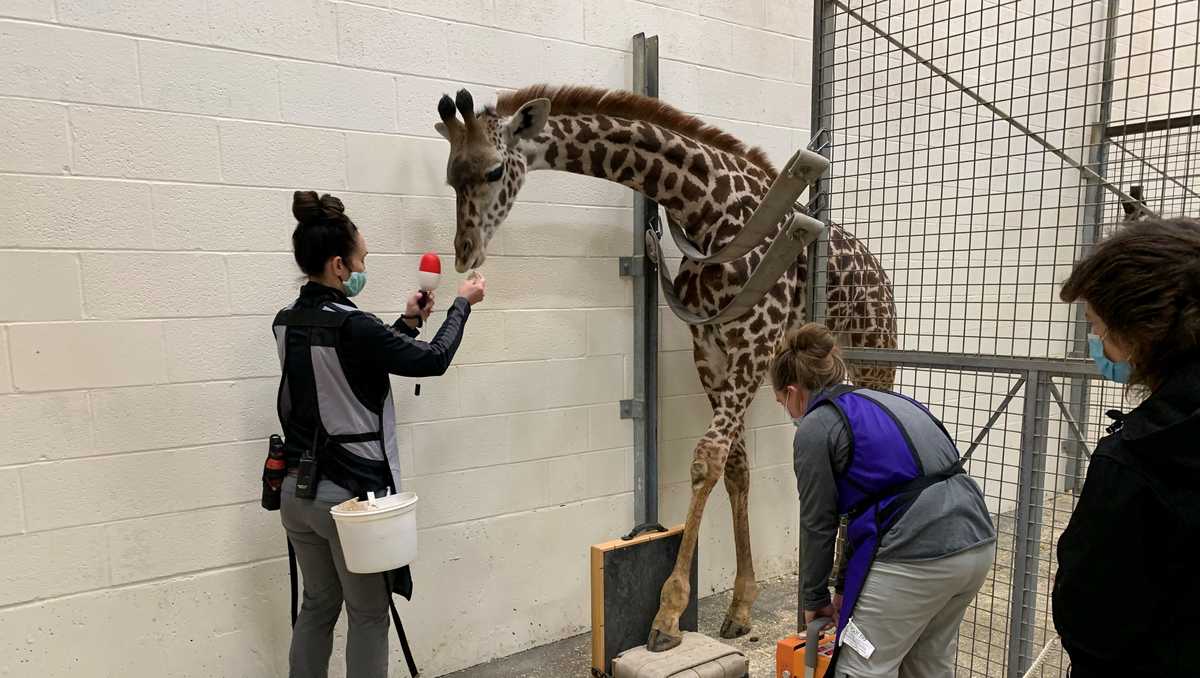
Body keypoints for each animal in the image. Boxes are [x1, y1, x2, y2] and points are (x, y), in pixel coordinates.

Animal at [434, 85, 898, 652]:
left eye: (495, 170)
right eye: (452, 175)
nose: (464, 253)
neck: (708, 210)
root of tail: (880, 272)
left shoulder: (754, 345)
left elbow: (706, 461)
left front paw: (668, 615)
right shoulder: (713, 352)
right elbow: (735, 468)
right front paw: (740, 608)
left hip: (874, 353)